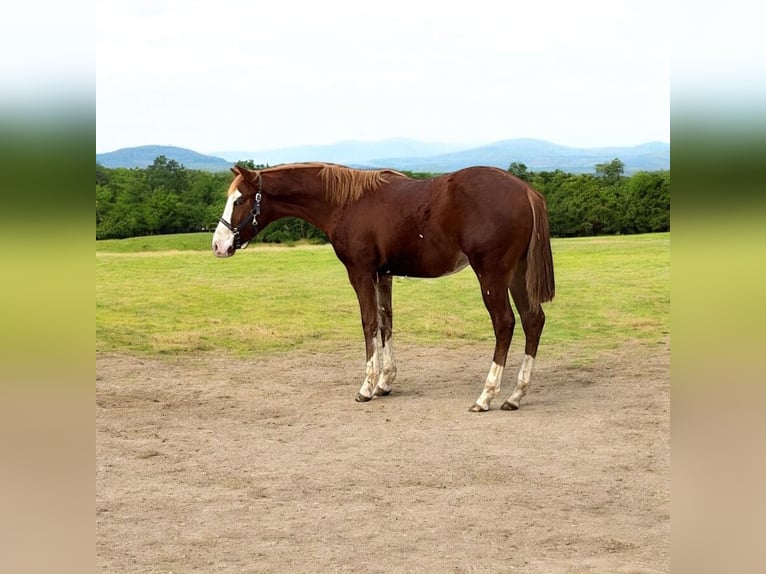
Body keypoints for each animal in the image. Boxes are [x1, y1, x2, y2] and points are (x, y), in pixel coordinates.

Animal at [213, 163, 556, 414]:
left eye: (239, 200)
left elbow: (368, 323)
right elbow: (385, 322)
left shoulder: (361, 273)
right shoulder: (383, 275)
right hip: (517, 273)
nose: (219, 245)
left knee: (505, 324)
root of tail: (525, 190)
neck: (346, 203)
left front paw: (366, 388)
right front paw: (385, 383)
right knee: (533, 321)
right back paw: (515, 396)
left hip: (492, 274)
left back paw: (486, 396)